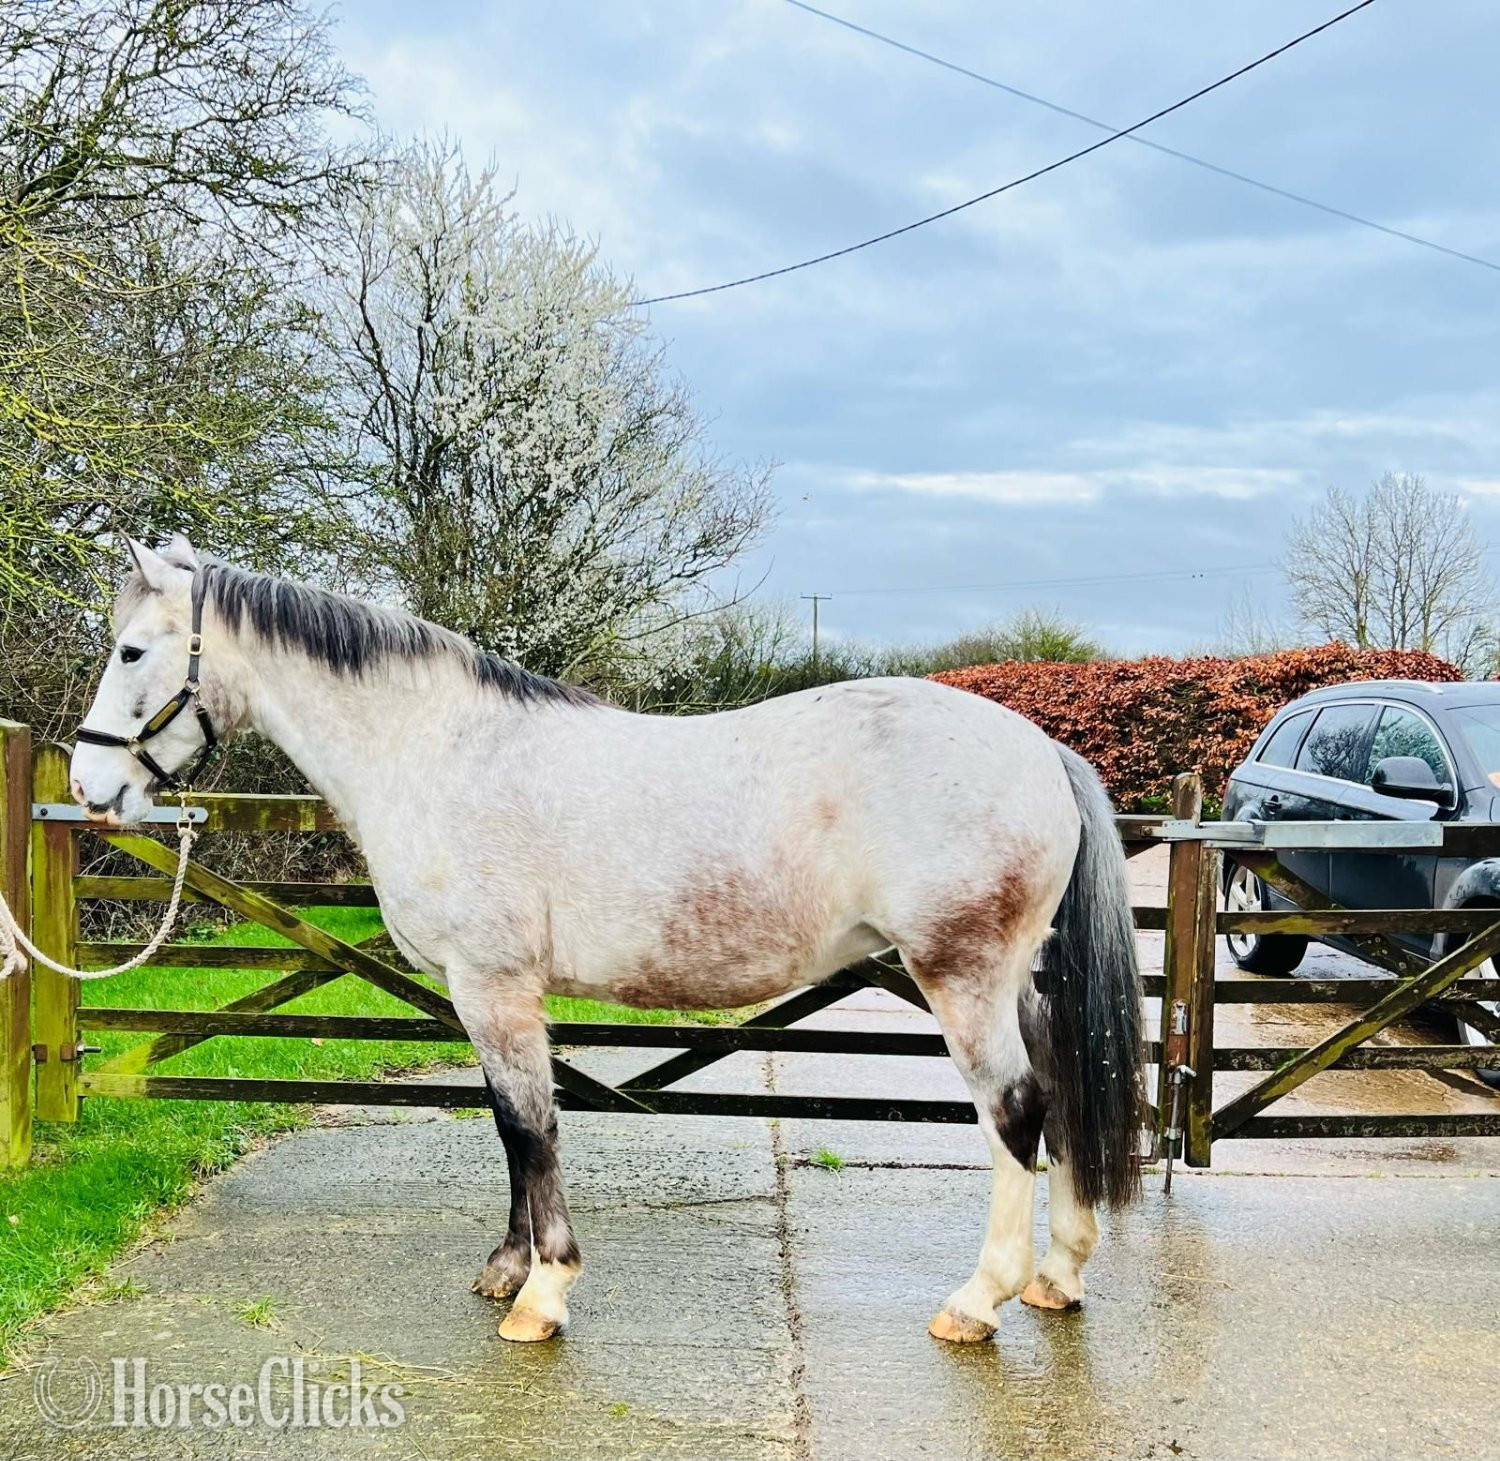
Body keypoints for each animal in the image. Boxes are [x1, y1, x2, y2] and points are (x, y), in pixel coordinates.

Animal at [69, 535, 1145, 1345]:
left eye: (131, 652)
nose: (89, 789)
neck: (438, 752)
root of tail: (1039, 748)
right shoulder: (482, 993)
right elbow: (510, 1126)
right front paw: (507, 1269)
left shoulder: (496, 986)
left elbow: (530, 1127)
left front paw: (543, 1294)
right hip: (1014, 980)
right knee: (1060, 1084)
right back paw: (1059, 1273)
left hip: (959, 975)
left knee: (1014, 1110)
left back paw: (978, 1300)